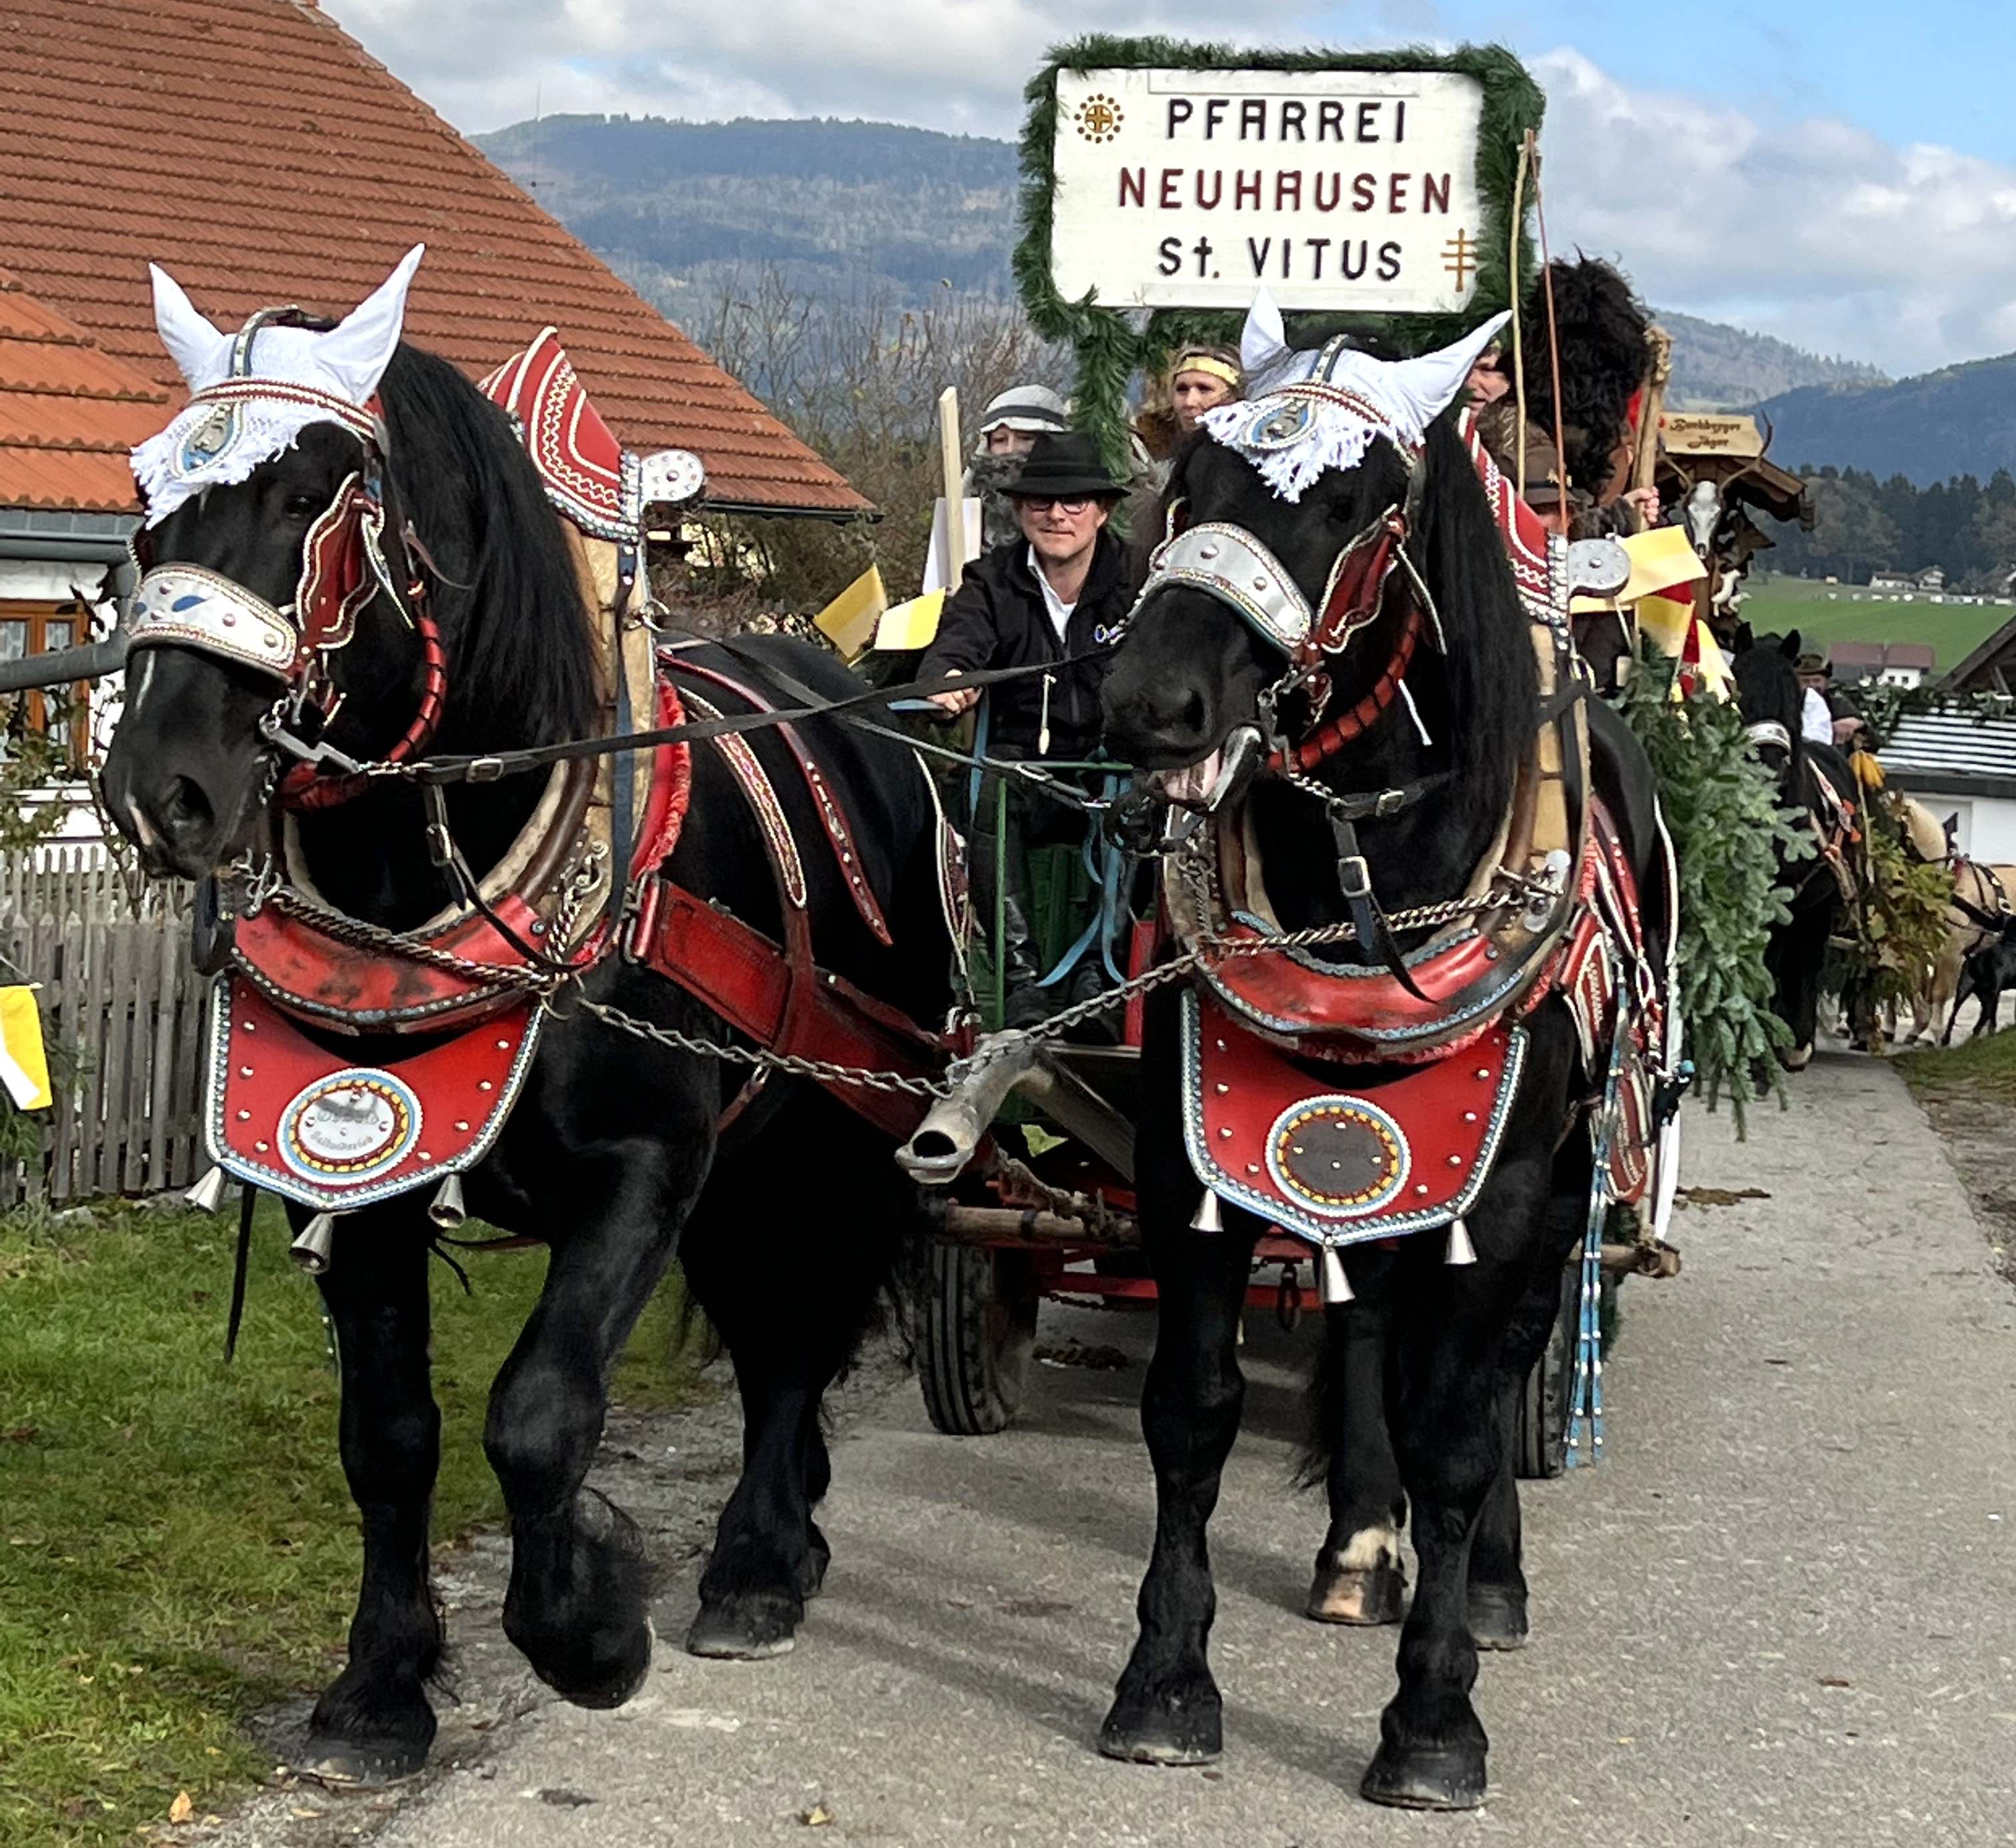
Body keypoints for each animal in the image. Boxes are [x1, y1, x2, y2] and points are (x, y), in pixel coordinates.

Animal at [98, 257, 952, 1782]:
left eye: (314, 489)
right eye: (145, 489)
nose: (160, 786)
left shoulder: (644, 1167)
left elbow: (542, 1414)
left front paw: (590, 1629)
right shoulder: (362, 1172)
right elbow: (389, 1432)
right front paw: (378, 1689)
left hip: (831, 1127)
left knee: (796, 1330)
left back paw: (754, 1564)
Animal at [1095, 316, 1671, 1808]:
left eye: (1352, 506)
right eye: (1188, 480)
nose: (1151, 703)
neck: (1364, 887)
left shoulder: (1507, 1197)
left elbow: (1457, 1432)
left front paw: (1433, 1717)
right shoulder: (1196, 1169)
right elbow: (1191, 1413)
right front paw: (1163, 1682)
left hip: (1561, 1181)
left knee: (1499, 1365)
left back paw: (1488, 1585)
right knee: (1361, 1323)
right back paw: (1360, 1544)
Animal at [1729, 628, 1853, 1067]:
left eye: (1793, 694)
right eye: (1737, 687)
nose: (1767, 765)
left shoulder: (1789, 900)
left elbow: (1778, 963)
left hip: (1819, 905)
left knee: (1804, 960)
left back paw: (1796, 1039)